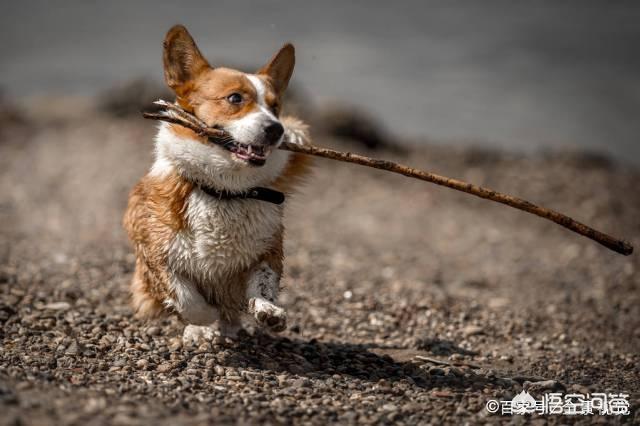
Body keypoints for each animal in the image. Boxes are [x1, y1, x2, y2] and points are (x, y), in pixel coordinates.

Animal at [124, 25, 312, 342]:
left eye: (275, 107)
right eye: (235, 98)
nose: (277, 129)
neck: (224, 190)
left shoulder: (267, 252)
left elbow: (264, 282)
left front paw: (268, 311)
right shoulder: (158, 258)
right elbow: (186, 298)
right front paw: (201, 322)